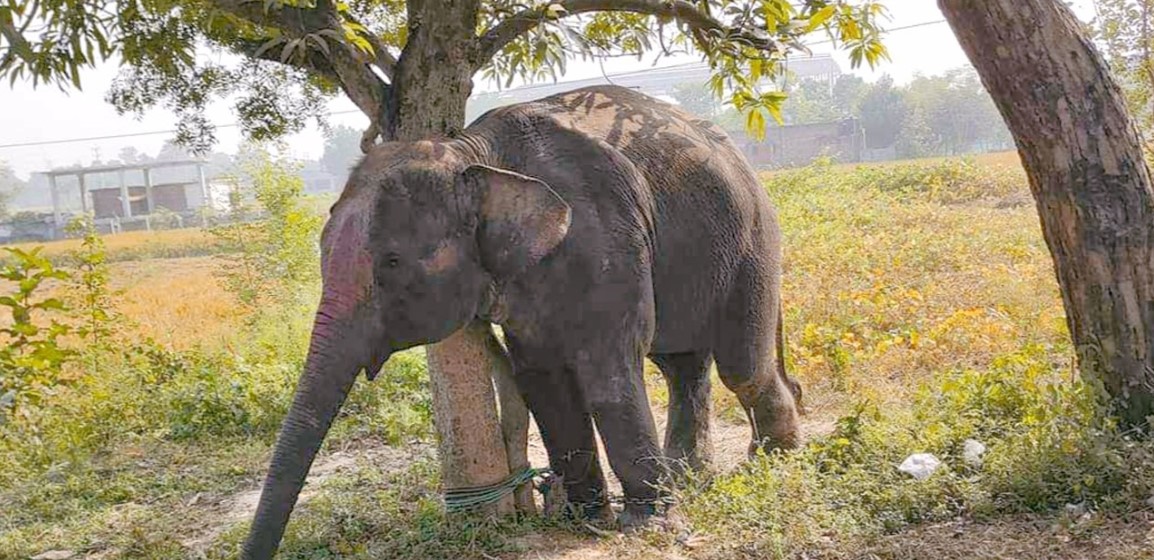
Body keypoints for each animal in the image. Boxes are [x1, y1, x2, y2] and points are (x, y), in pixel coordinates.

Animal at [241, 84, 803, 556]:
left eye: (392, 263)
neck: (473, 154)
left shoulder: (607, 236)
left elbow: (608, 371)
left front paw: (649, 527)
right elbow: (542, 380)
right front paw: (584, 520)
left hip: (754, 242)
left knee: (741, 368)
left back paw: (774, 463)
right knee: (683, 367)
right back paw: (690, 478)